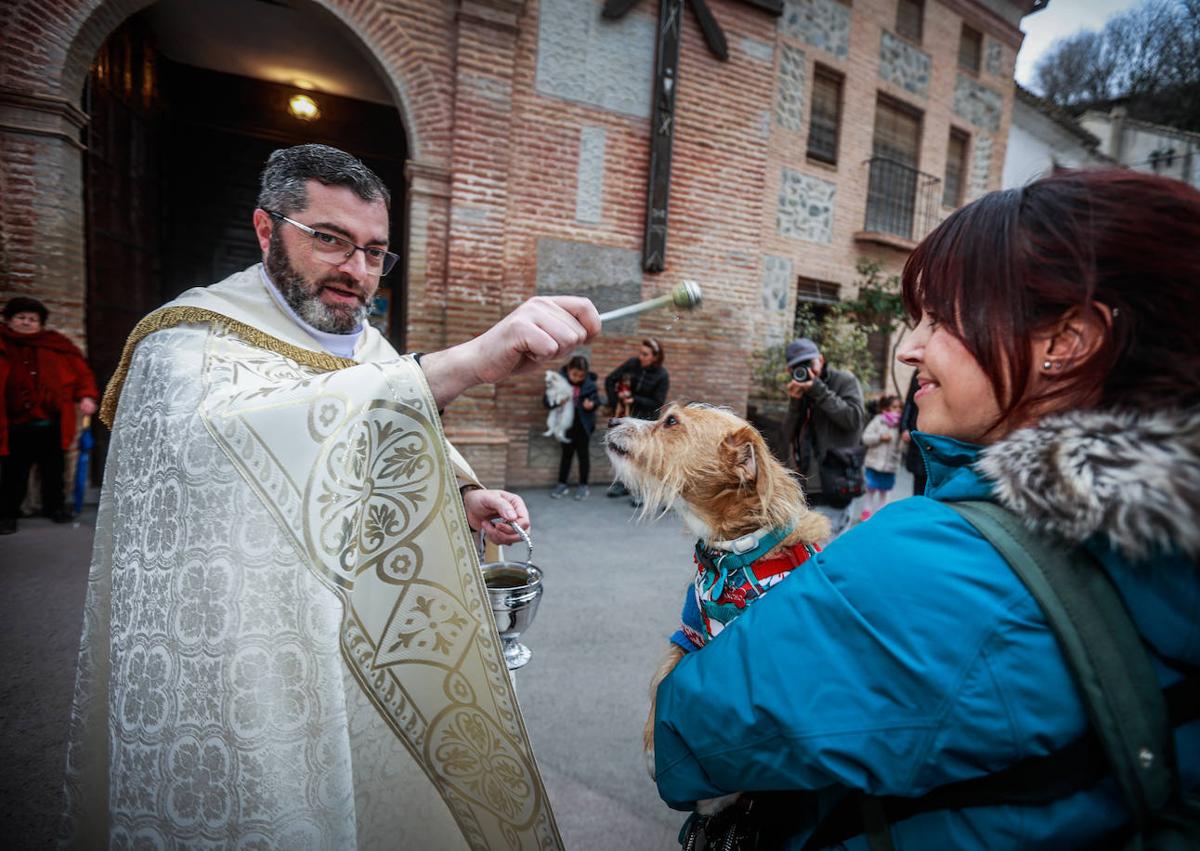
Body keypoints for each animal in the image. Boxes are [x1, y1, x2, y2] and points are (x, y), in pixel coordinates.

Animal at [604, 400, 830, 806]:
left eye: (671, 422)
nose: (612, 418)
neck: (732, 559)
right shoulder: (688, 632)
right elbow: (666, 676)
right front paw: (653, 747)